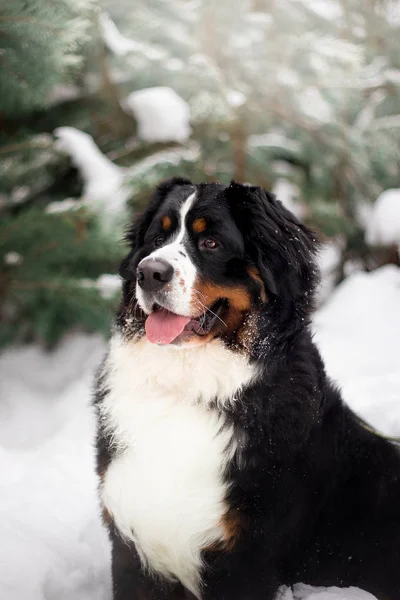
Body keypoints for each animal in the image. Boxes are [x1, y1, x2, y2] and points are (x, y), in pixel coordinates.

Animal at [94, 178, 400, 600]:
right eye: (158, 236)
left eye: (211, 243)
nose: (150, 272)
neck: (187, 385)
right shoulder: (131, 548)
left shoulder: (246, 559)